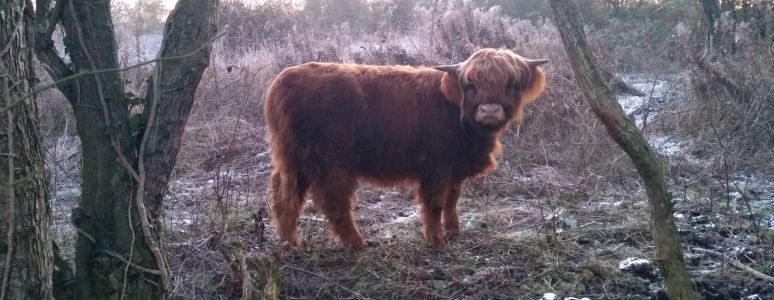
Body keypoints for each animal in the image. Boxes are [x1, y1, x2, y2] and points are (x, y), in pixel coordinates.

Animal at [264, 47, 548, 248]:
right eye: (471, 84)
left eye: (511, 84)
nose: (489, 110)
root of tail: (283, 79)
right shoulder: (436, 166)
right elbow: (435, 202)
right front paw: (436, 240)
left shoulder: (455, 168)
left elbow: (452, 199)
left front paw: (453, 230)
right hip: (329, 161)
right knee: (334, 201)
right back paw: (357, 243)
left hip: (295, 160)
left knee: (284, 197)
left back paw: (290, 242)